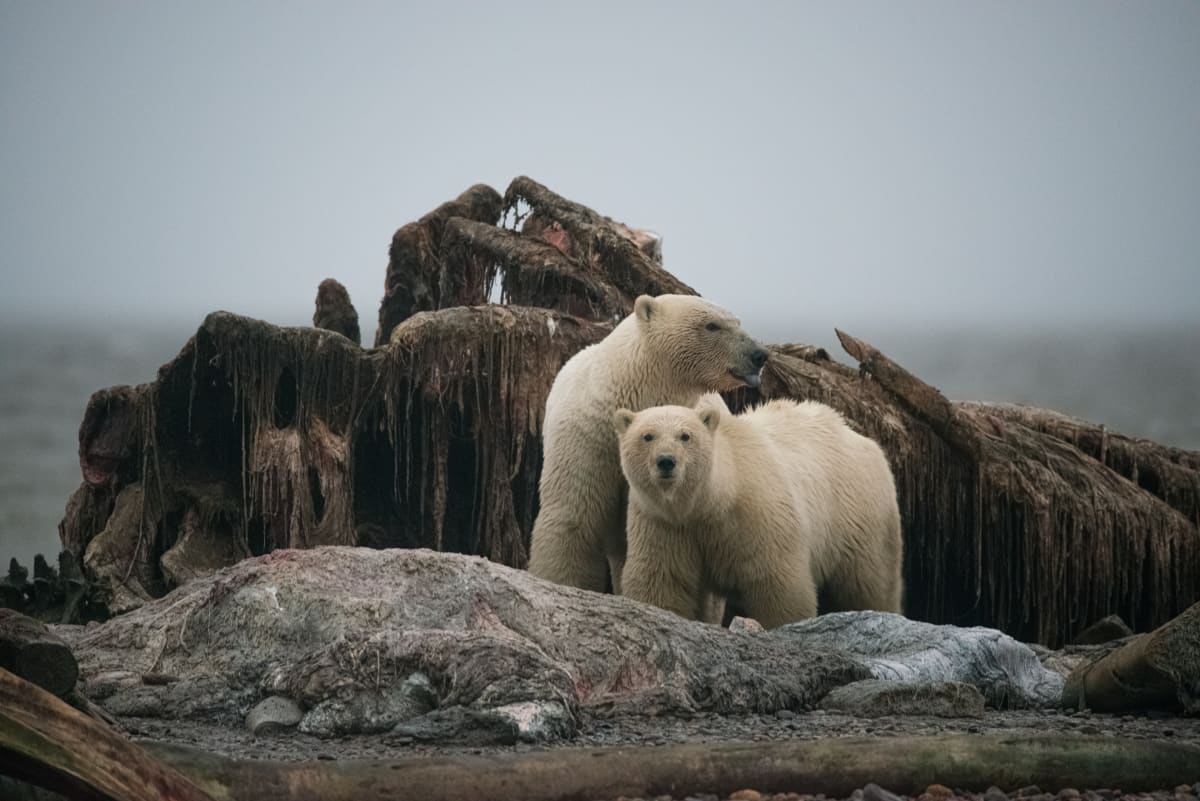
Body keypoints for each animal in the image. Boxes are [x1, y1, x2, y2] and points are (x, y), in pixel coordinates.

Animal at [619, 398, 902, 628]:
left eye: (685, 436)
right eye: (647, 436)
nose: (666, 461)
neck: (708, 503)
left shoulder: (756, 515)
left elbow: (776, 584)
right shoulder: (664, 523)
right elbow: (663, 581)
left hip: (857, 513)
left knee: (871, 581)